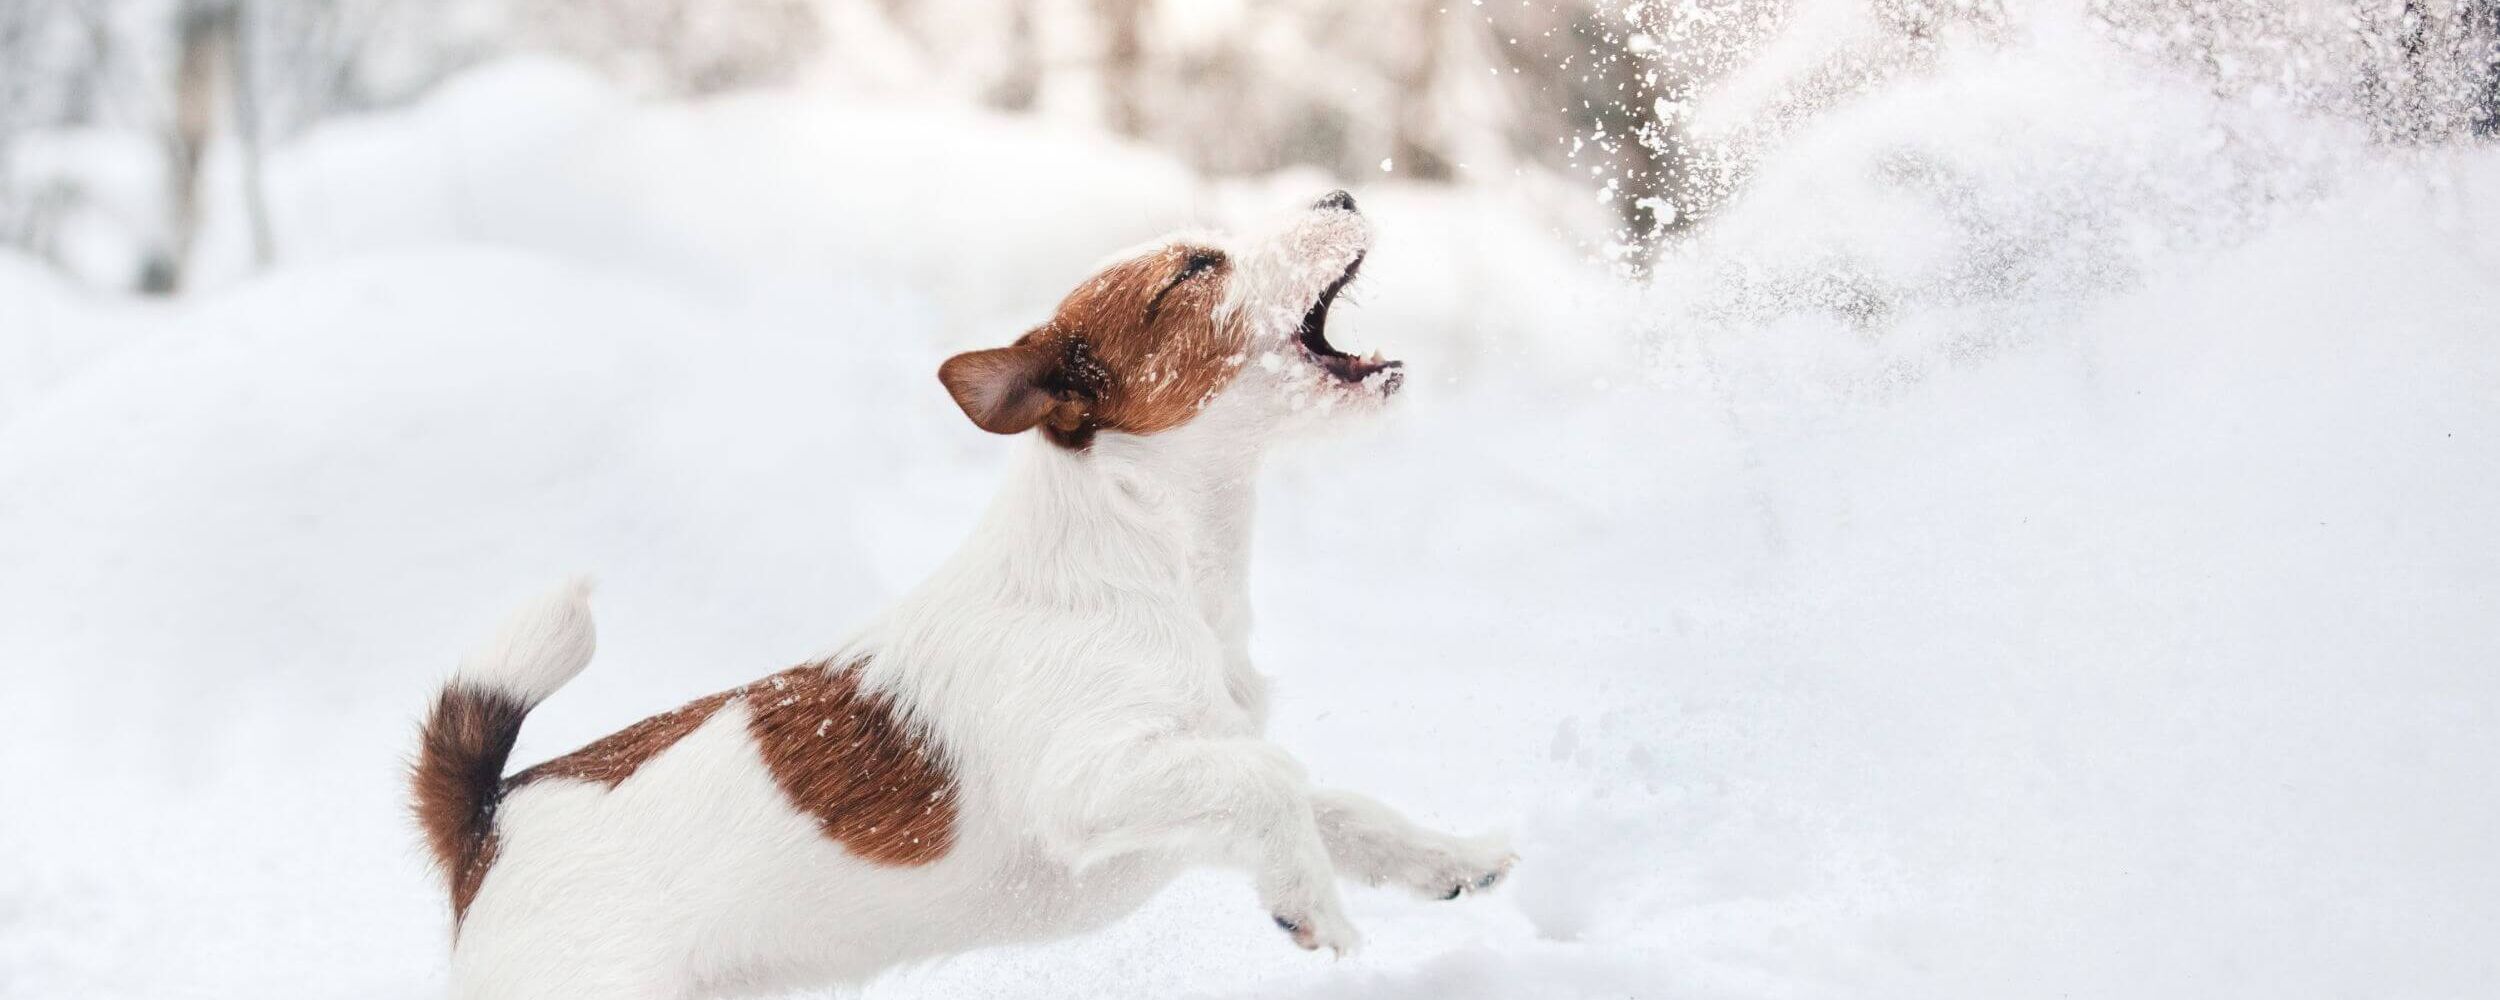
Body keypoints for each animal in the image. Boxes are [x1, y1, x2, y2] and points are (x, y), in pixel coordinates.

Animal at [405, 191, 1520, 995]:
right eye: (1197, 268)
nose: (1340, 190)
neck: (1146, 556)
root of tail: (490, 818)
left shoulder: (1192, 761)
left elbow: (1333, 801)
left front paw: (1449, 858)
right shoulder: (1091, 780)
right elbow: (1272, 781)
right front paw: (1314, 909)